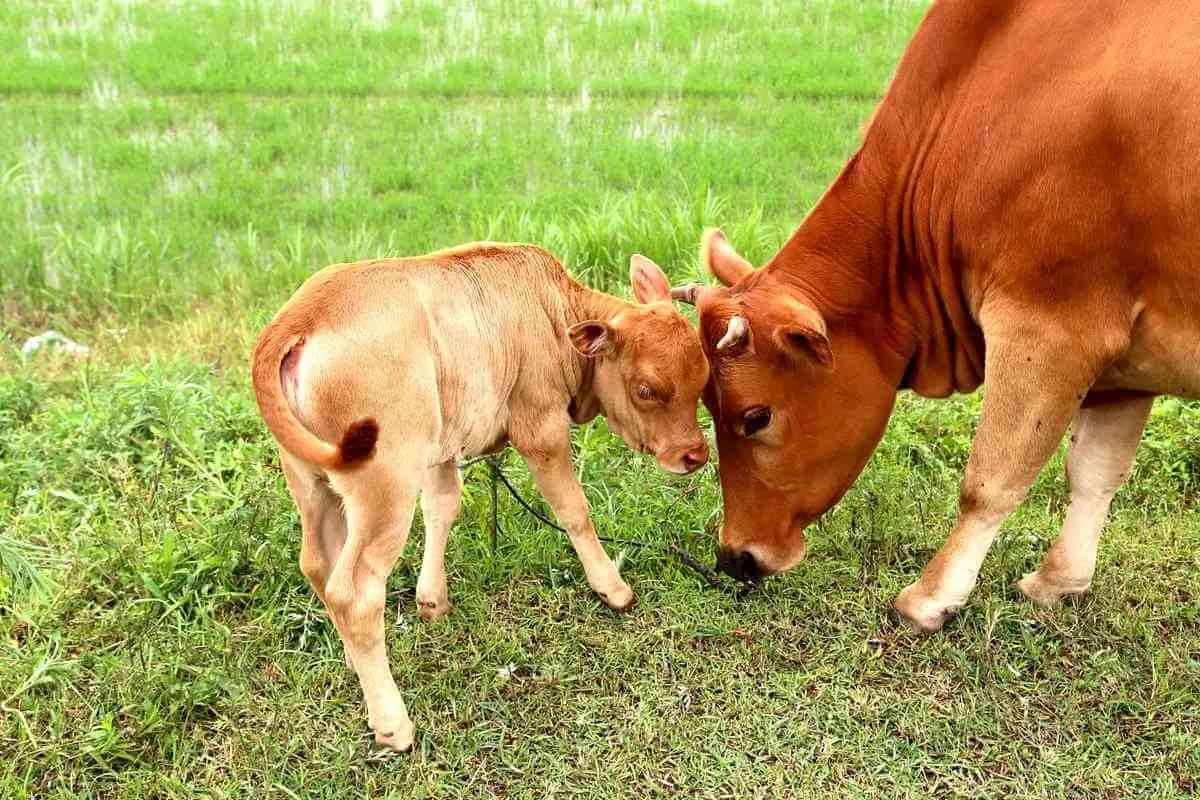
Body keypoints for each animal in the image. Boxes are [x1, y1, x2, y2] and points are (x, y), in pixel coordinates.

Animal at [249, 242, 705, 753]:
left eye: (703, 380)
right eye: (647, 390)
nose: (695, 455)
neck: (555, 313)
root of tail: (299, 317)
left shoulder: (442, 447)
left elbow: (443, 508)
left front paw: (432, 600)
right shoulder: (540, 428)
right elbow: (573, 511)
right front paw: (612, 587)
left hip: (312, 481)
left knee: (318, 565)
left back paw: (355, 660)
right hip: (385, 483)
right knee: (355, 592)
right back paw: (392, 722)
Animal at [672, 0, 1200, 633]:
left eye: (755, 416)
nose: (733, 557)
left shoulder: (1050, 326)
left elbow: (990, 479)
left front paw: (930, 597)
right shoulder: (1123, 364)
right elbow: (1095, 472)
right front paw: (1059, 582)